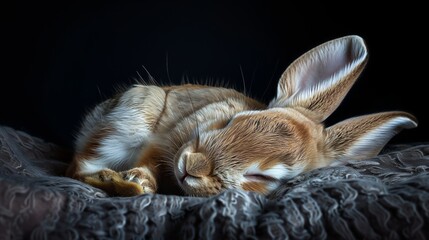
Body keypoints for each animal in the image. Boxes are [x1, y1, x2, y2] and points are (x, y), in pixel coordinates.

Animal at [65, 35, 416, 197]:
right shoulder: (161, 141)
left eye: (263, 178)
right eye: (233, 120)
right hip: (132, 116)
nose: (192, 165)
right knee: (75, 169)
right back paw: (126, 183)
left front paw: (140, 180)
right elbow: (149, 160)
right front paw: (140, 178)